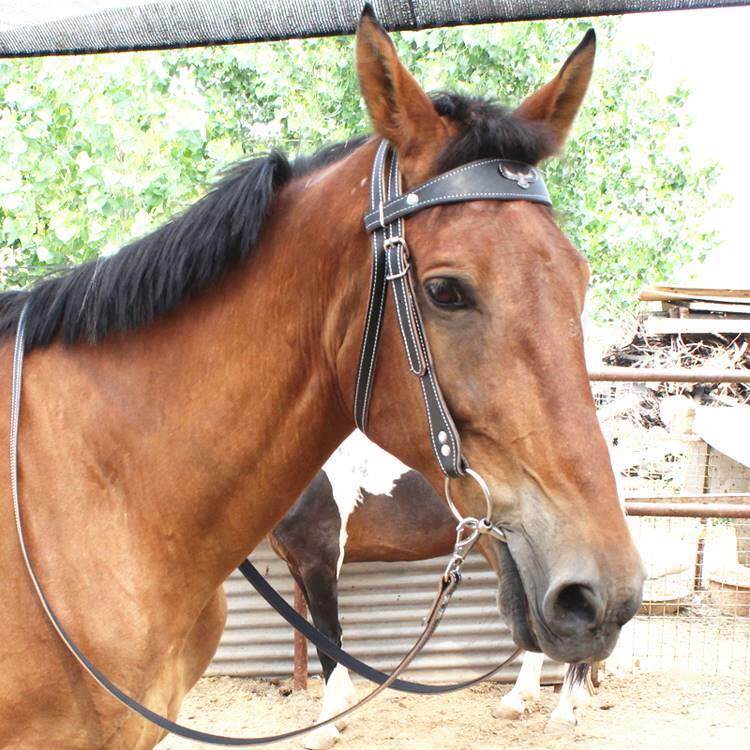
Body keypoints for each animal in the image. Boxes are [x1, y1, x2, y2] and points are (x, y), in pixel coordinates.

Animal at [269, 431, 592, 750]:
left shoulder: (319, 563)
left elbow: (327, 638)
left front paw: (325, 727)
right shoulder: (299, 567)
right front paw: (340, 714)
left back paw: (563, 714)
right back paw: (520, 701)